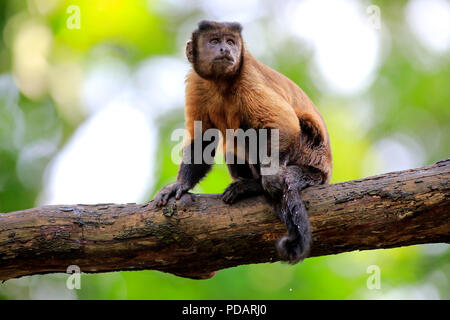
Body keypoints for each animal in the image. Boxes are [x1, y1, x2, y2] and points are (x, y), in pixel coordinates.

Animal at [153, 20, 332, 264]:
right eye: (214, 41)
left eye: (230, 41)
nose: (225, 49)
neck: (221, 83)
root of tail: (324, 171)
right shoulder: (197, 83)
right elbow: (203, 140)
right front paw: (180, 185)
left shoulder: (248, 77)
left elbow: (284, 122)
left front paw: (270, 178)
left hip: (307, 150)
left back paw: (256, 185)